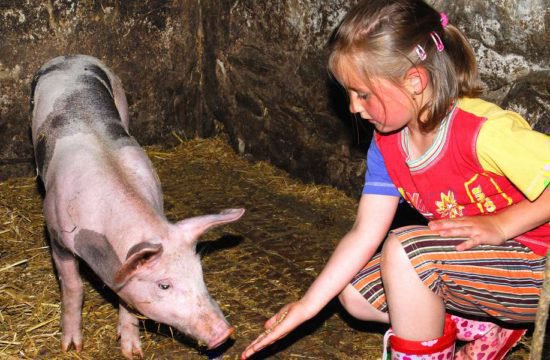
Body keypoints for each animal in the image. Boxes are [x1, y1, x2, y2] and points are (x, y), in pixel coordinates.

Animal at [29, 54, 246, 358]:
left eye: (200, 273)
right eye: (164, 285)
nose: (225, 332)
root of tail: (70, 56)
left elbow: (127, 300)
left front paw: (132, 352)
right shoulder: (56, 234)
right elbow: (73, 287)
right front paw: (71, 347)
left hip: (121, 97)